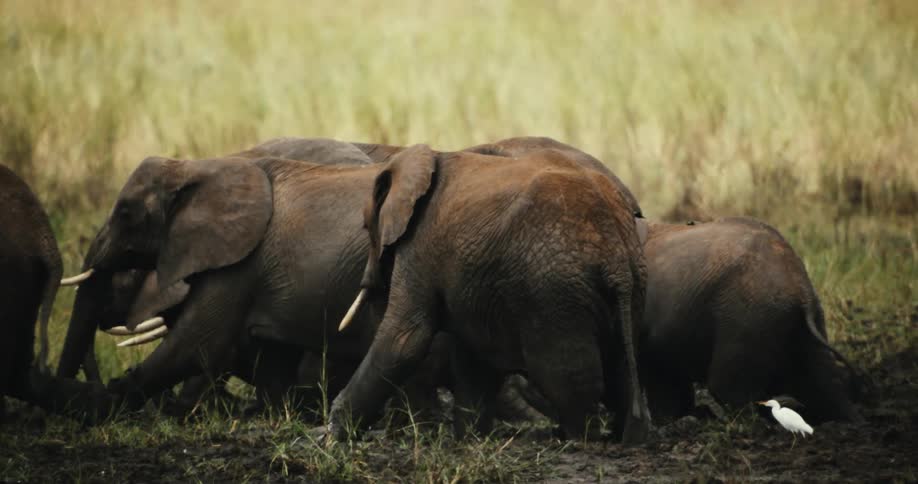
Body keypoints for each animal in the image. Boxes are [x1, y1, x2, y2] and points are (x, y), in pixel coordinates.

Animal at [328, 144, 652, 443]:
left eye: (366, 226)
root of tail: (616, 258)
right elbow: (473, 359)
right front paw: (470, 440)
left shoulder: (420, 245)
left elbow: (404, 340)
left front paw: (331, 435)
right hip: (630, 284)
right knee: (624, 366)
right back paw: (632, 439)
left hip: (555, 292)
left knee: (564, 373)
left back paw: (578, 440)